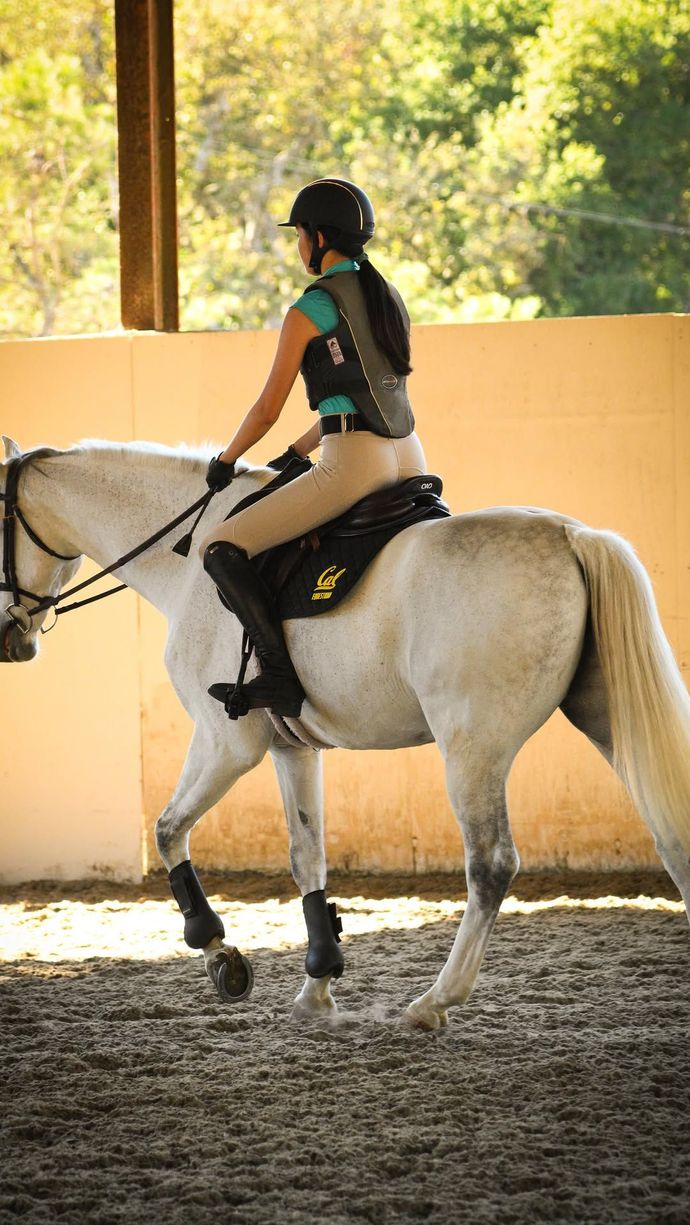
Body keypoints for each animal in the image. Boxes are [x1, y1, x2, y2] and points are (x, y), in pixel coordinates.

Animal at [2, 435, 689, 1030]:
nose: (13, 640)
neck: (190, 559)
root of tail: (570, 535)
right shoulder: (291, 747)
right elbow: (306, 857)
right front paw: (318, 985)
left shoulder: (228, 742)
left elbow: (169, 830)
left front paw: (220, 954)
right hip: (604, 720)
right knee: (671, 833)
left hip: (473, 746)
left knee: (491, 864)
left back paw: (434, 1001)